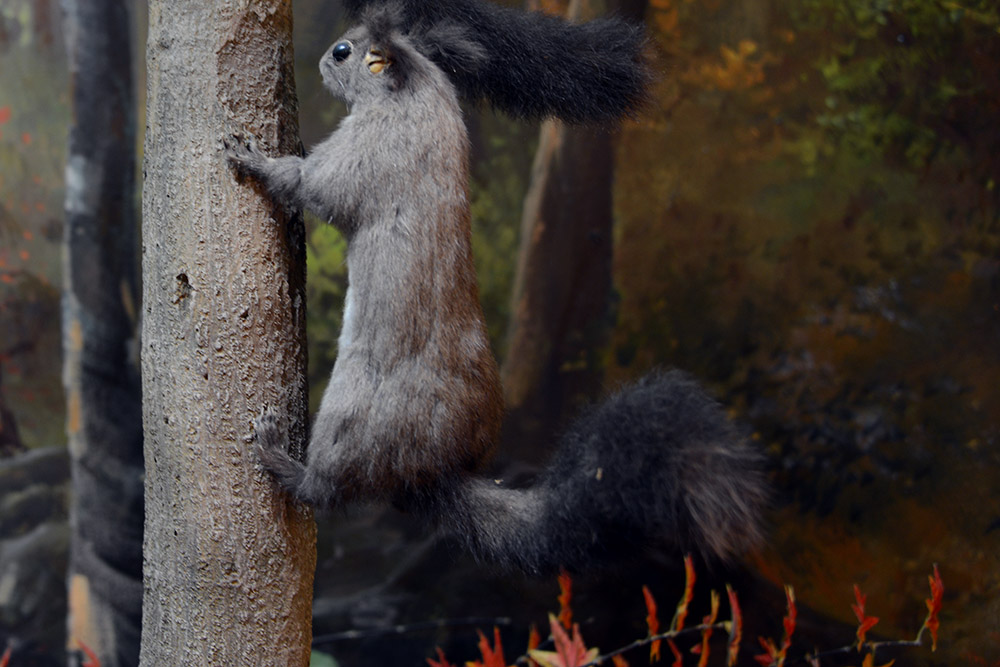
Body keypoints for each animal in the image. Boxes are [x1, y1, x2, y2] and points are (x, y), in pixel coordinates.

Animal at [224, 3, 765, 575]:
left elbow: (305, 182)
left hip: (355, 419)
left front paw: (253, 157)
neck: (419, 93)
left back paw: (279, 455)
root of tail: (433, 472)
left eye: (345, 51)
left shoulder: (365, 153)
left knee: (324, 490)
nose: (325, 58)